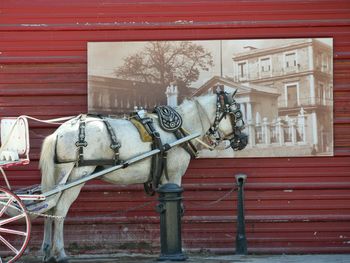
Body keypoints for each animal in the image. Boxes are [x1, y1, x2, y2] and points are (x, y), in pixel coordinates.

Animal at [38, 91, 246, 263]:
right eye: (237, 114)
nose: (244, 140)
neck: (180, 131)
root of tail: (60, 131)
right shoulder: (173, 175)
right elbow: (176, 208)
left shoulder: (163, 180)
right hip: (75, 176)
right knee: (60, 209)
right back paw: (60, 252)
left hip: (59, 177)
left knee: (48, 206)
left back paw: (47, 251)